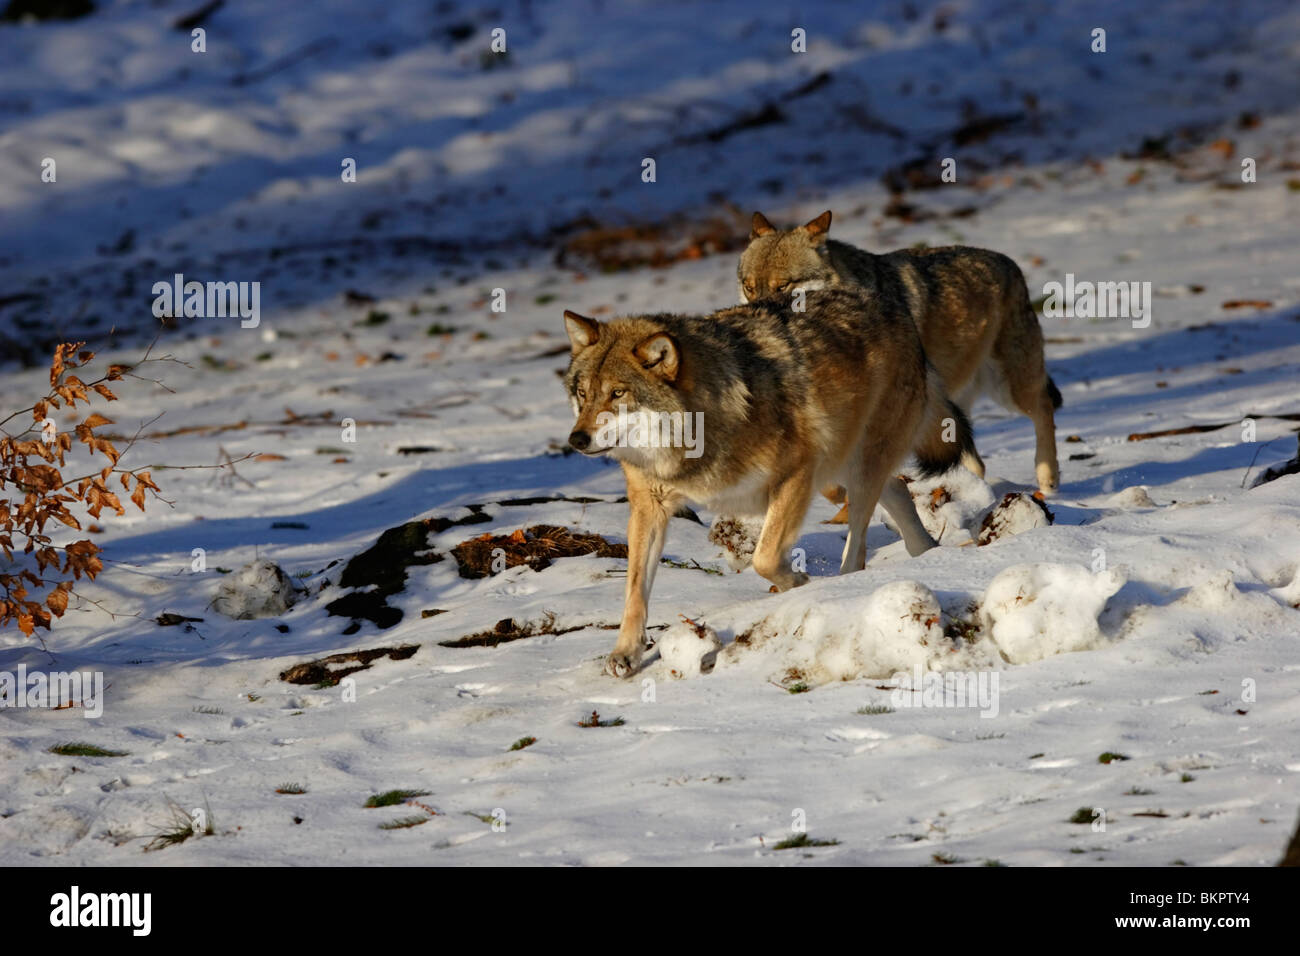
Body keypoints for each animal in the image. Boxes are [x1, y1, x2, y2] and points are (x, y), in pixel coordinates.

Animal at [561, 287, 977, 676]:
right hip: (844, 467)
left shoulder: (797, 474)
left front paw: (801, 584)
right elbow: (634, 592)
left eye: (617, 393)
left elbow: (764, 557)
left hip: (852, 466)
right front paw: (626, 654)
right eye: (582, 394)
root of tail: (889, 304)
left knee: (858, 539)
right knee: (898, 491)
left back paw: (844, 585)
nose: (576, 439)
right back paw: (926, 553)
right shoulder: (649, 505)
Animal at [743, 209, 1055, 494]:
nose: (760, 312)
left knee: (1043, 407)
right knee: (975, 461)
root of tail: (1010, 262)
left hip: (1009, 388)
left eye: (783, 286)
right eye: (748, 287)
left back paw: (1048, 480)